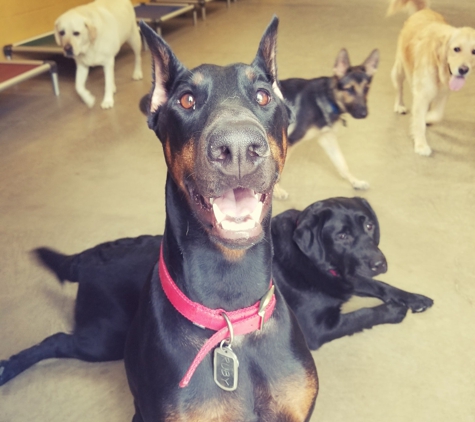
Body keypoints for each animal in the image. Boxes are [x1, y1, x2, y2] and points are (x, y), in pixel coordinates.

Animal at [276, 47, 380, 199]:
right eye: (349, 89)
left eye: (366, 88)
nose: (363, 114)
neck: (327, 97)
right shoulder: (288, 142)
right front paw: (276, 191)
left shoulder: (327, 138)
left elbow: (342, 164)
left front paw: (356, 182)